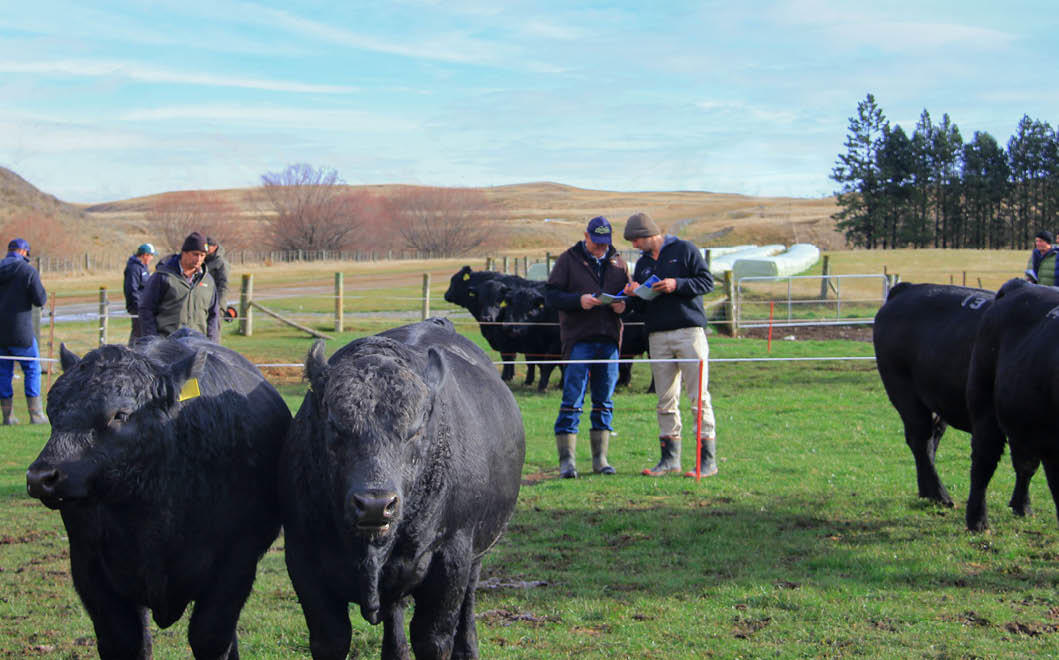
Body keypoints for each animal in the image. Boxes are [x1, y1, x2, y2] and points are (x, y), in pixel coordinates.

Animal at [25, 329, 291, 659]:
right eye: (53, 412)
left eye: (120, 414)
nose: (40, 477)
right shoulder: (89, 567)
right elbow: (126, 642)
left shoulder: (236, 561)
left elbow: (210, 637)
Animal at [279, 318, 525, 660]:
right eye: (334, 425)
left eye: (416, 430)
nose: (375, 504)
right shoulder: (303, 561)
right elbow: (331, 639)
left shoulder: (451, 558)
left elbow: (433, 639)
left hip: (477, 552)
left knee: (467, 602)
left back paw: (467, 648)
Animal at [965, 278, 1059, 531]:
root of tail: (1020, 285)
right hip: (984, 409)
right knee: (983, 463)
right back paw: (977, 521)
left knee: (1025, 464)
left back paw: (1022, 507)